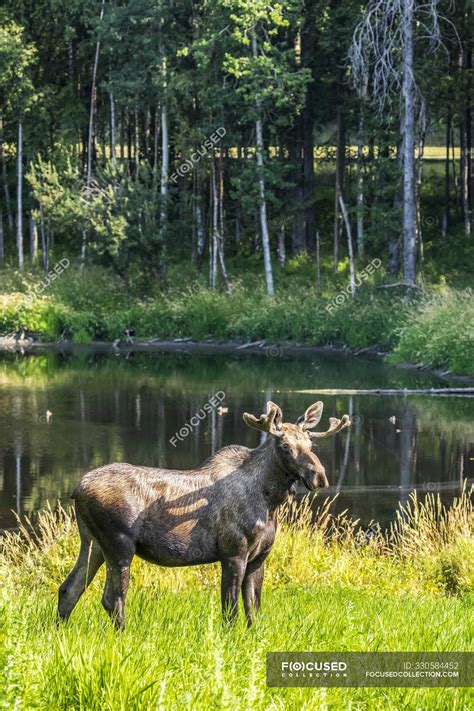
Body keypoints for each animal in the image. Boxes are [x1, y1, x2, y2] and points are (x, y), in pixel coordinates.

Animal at [58, 400, 348, 628]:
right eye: (285, 446)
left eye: (310, 443)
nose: (319, 476)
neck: (270, 501)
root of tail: (78, 489)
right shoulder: (233, 553)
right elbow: (230, 610)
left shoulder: (259, 557)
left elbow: (253, 610)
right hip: (119, 544)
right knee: (112, 598)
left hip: (93, 543)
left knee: (69, 588)